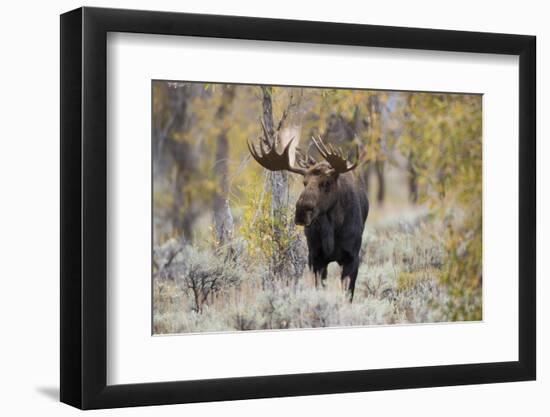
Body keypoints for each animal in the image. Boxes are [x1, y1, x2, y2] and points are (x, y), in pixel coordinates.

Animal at [248, 125, 368, 300]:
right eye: (304, 182)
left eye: (326, 183)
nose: (301, 212)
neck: (332, 230)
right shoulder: (315, 258)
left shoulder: (352, 257)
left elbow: (347, 295)